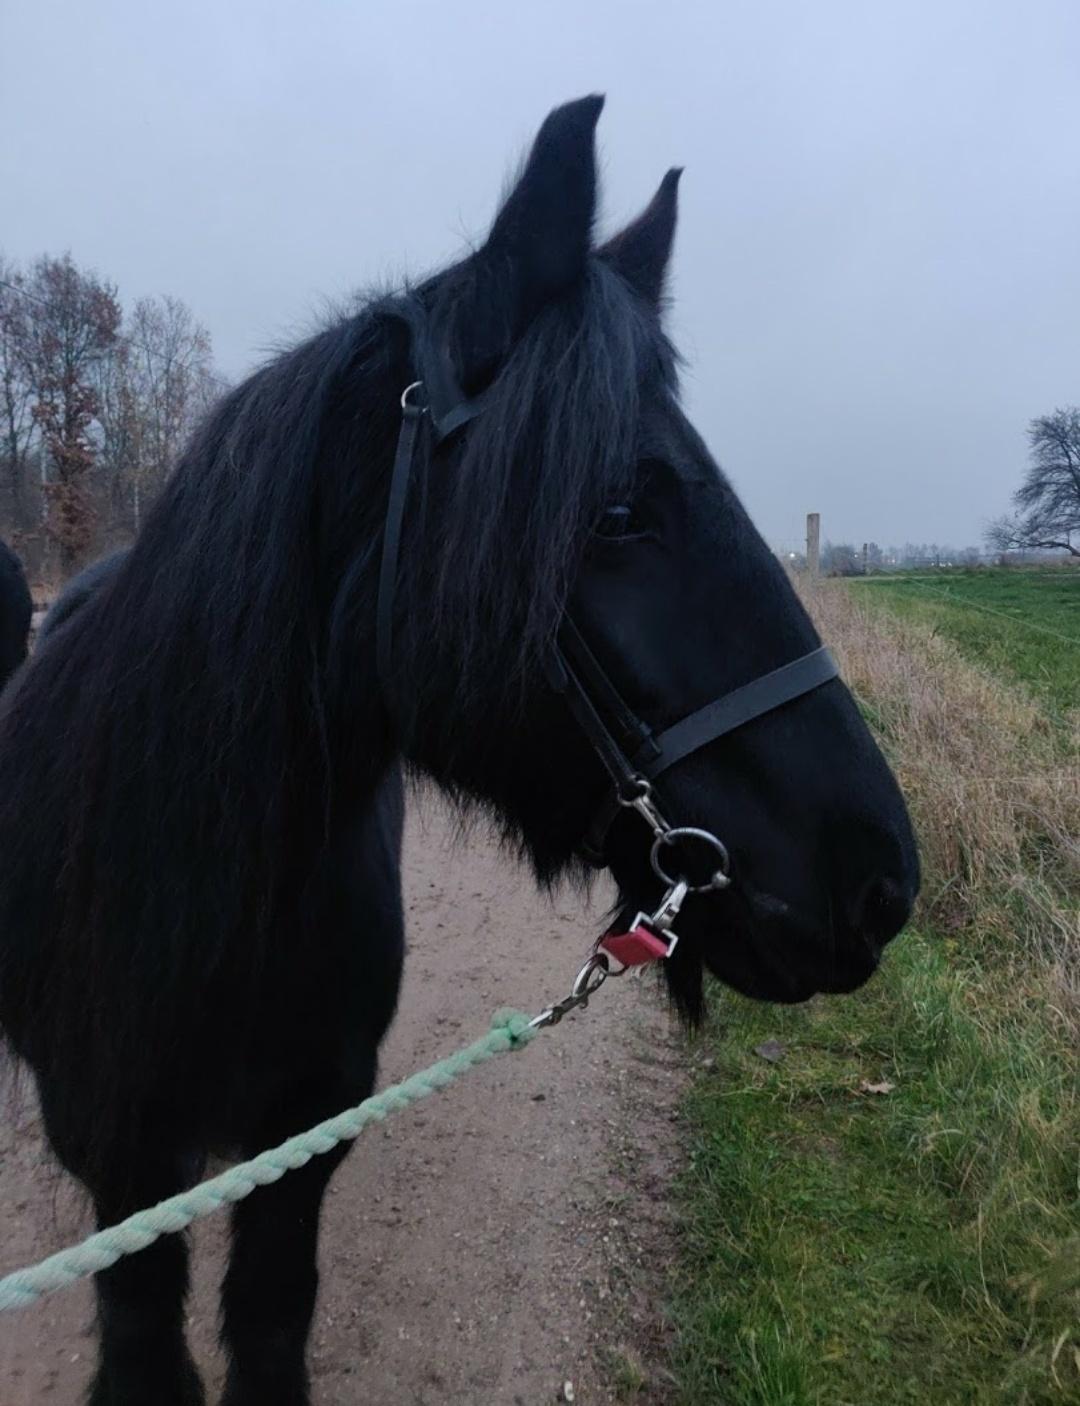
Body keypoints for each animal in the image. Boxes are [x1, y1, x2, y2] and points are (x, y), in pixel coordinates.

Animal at [0, 96, 919, 1406]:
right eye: (619, 511)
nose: (881, 875)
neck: (188, 887)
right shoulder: (128, 1173)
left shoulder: (300, 1144)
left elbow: (269, 1317)